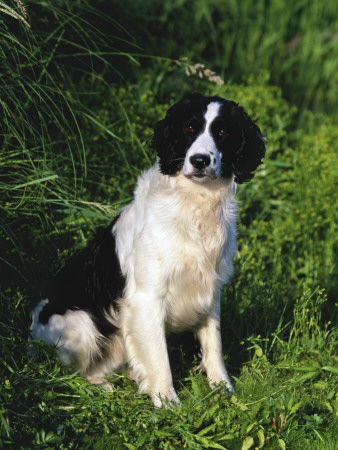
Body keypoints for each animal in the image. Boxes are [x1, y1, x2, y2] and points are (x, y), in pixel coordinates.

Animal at [30, 93, 266, 406]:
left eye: (223, 131)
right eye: (189, 128)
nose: (199, 160)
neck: (194, 205)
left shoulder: (210, 291)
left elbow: (213, 346)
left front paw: (223, 391)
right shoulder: (147, 297)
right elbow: (159, 358)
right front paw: (168, 403)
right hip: (83, 322)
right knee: (74, 371)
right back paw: (99, 387)